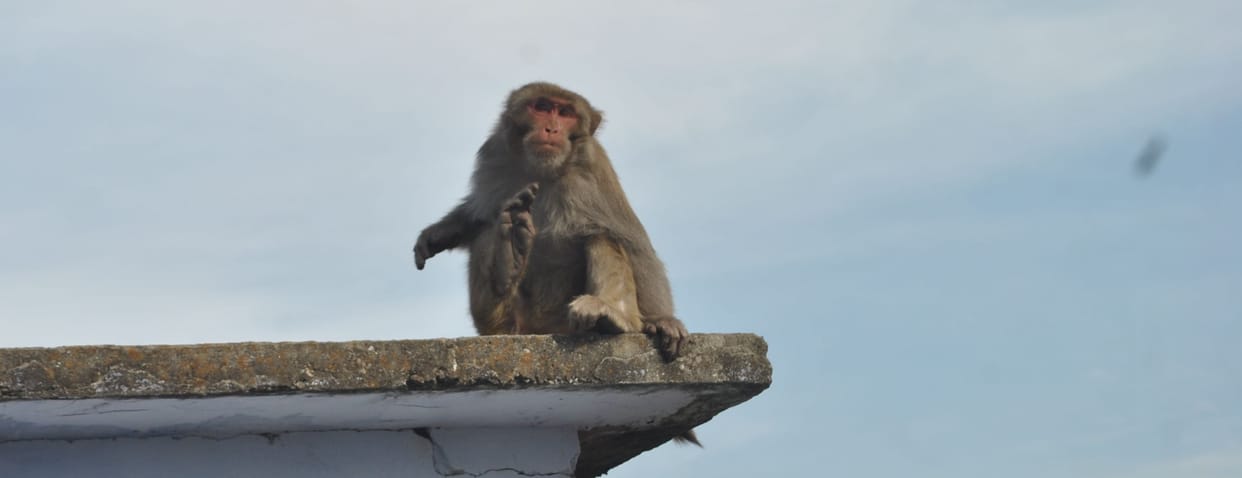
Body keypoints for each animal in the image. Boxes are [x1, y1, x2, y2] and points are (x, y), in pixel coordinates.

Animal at [412, 82, 690, 364]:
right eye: (543, 107)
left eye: (566, 113)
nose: (552, 129)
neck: (544, 171)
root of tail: (537, 330)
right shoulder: (494, 153)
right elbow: (478, 213)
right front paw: (440, 232)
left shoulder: (596, 169)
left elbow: (633, 242)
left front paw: (662, 320)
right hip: (514, 324)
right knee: (490, 228)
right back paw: (507, 265)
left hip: (565, 323)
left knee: (601, 236)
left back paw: (612, 316)